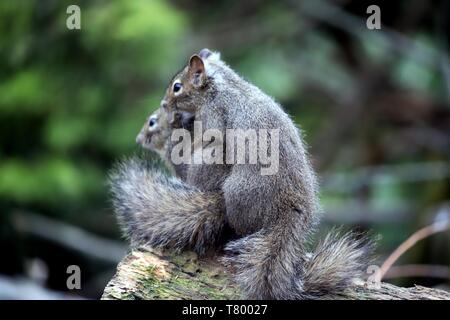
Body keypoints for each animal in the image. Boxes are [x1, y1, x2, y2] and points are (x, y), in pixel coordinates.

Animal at [110, 48, 374, 300]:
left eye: (177, 87)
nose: (164, 104)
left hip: (237, 195)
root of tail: (290, 210)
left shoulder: (213, 115)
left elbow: (206, 137)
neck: (223, 85)